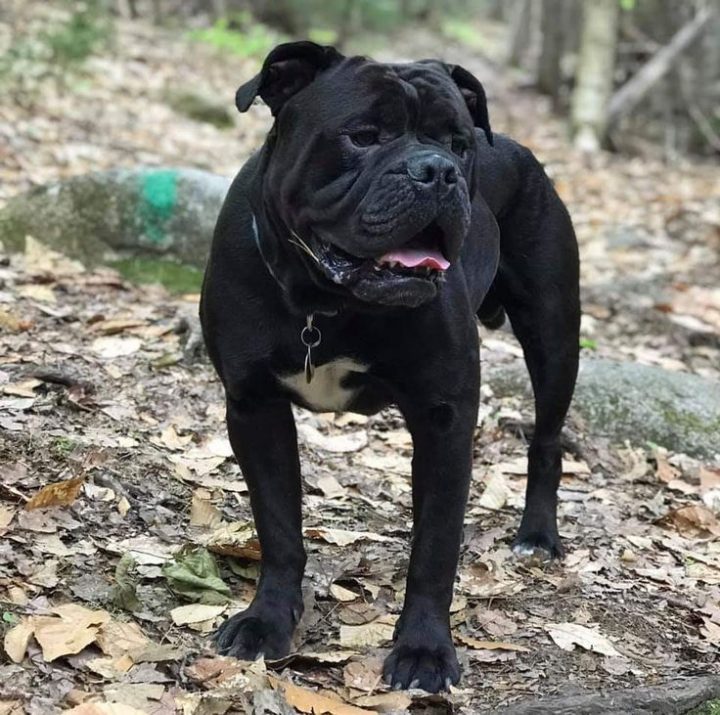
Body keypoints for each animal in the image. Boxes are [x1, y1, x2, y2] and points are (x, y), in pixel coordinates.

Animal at [200, 40, 584, 692]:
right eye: (363, 136)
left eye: (458, 144)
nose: (438, 170)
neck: (326, 305)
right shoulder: (254, 408)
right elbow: (279, 526)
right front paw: (267, 620)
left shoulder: (444, 421)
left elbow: (434, 547)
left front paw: (425, 651)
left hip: (555, 337)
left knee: (547, 438)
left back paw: (536, 536)